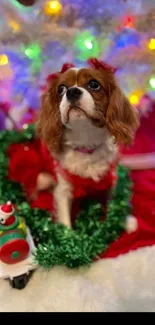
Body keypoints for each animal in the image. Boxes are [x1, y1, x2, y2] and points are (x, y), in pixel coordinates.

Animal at [36, 57, 139, 228]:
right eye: (61, 89)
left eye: (94, 84)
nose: (72, 91)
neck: (86, 138)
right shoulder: (63, 189)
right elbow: (65, 220)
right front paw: (67, 235)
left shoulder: (109, 178)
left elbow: (114, 202)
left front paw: (123, 221)